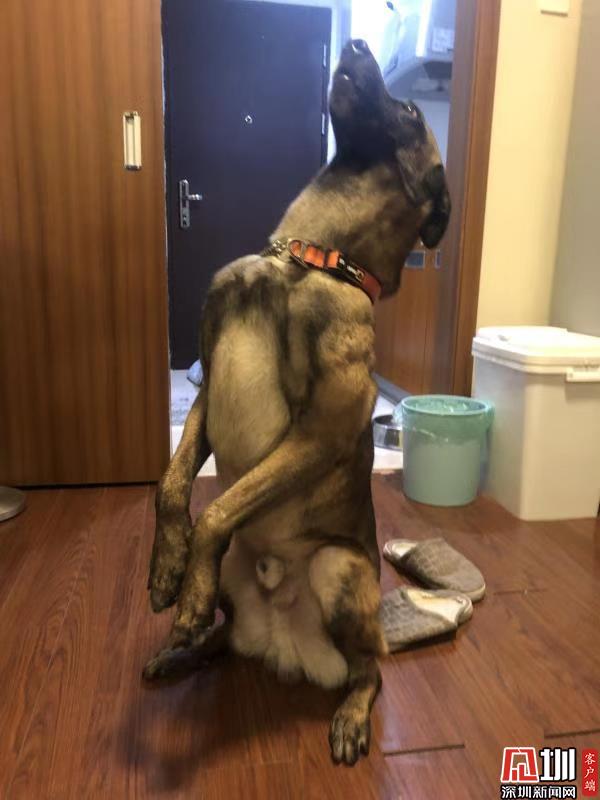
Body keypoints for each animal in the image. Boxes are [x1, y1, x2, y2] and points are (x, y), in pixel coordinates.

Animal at [145, 39, 450, 766]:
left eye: (406, 111)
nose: (360, 42)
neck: (308, 258)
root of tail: (288, 652)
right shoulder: (204, 400)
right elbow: (174, 486)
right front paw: (169, 569)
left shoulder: (318, 432)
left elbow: (216, 509)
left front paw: (187, 589)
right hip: (242, 583)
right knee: (224, 639)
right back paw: (181, 649)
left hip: (338, 572)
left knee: (371, 674)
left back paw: (350, 715)